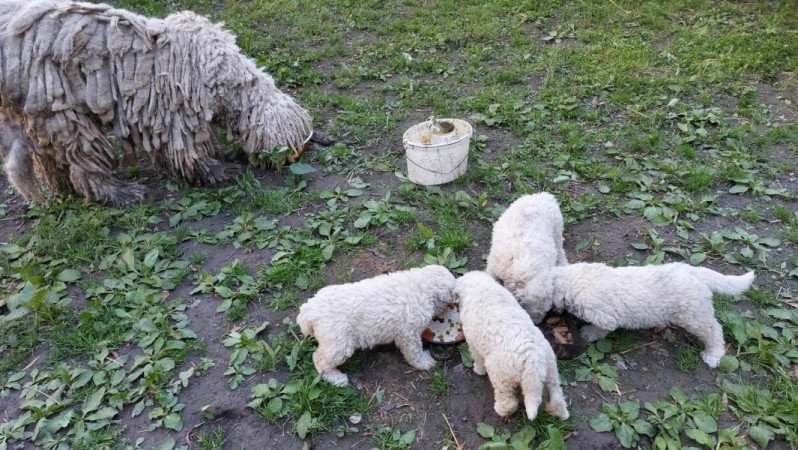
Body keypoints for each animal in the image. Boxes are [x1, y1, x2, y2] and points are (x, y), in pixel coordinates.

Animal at [0, 0, 318, 205]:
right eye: (292, 145)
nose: (297, 157)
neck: (222, 74)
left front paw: (222, 155)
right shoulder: (177, 109)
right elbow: (186, 151)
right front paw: (216, 171)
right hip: (59, 106)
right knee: (83, 157)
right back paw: (119, 193)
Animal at [296, 264, 456, 386]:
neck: (422, 285)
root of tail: (309, 310)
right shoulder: (408, 334)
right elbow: (414, 352)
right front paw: (424, 362)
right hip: (339, 345)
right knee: (319, 359)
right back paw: (336, 379)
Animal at [456, 270, 568, 422]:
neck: (481, 287)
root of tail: (532, 358)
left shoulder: (472, 341)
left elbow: (477, 358)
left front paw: (478, 370)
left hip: (501, 375)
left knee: (508, 401)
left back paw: (502, 410)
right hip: (550, 369)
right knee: (556, 395)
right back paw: (559, 412)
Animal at [484, 193, 572, 324]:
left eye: (545, 309)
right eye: (526, 305)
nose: (537, 322)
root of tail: (544, 195)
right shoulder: (494, 265)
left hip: (557, 230)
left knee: (560, 249)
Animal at [524, 262, 756, 368]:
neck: (572, 280)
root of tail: (693, 271)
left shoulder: (604, 316)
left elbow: (600, 329)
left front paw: (588, 333)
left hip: (694, 316)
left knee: (714, 331)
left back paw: (713, 355)